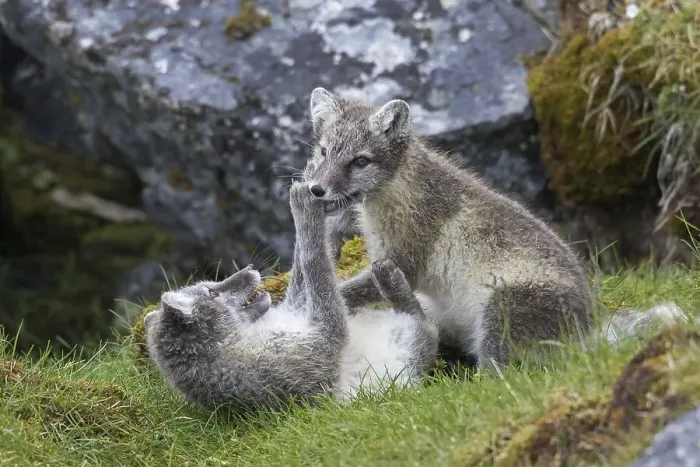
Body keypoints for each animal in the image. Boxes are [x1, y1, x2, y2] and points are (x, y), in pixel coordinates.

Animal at [143, 181, 438, 410]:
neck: (239, 340)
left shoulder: (295, 310)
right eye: (211, 292)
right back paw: (388, 276)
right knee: (426, 325)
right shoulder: (324, 341)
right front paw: (304, 207)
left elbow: (301, 272)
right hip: (411, 339)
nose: (251, 269)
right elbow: (314, 262)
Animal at [303, 87, 687, 370]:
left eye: (360, 161)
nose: (317, 189)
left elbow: (350, 290)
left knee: (499, 375)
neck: (400, 187)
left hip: (500, 309)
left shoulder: (403, 258)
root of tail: (588, 329)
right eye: (323, 152)